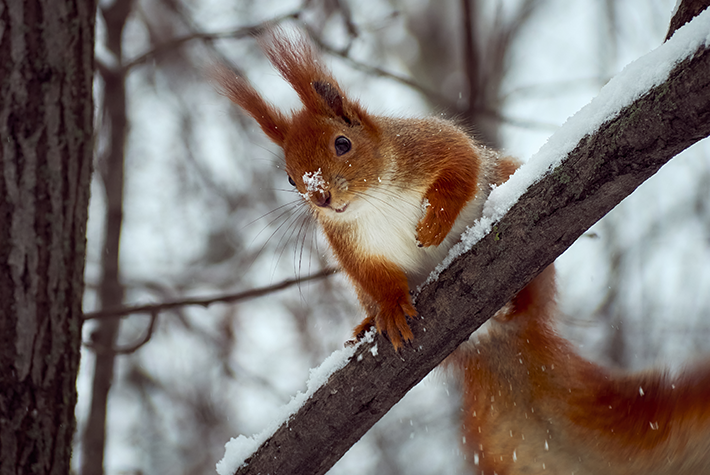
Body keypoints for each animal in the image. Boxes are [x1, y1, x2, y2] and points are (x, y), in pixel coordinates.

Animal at [215, 30, 710, 474]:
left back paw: (513, 302)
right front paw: (390, 307)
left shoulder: (430, 145)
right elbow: (375, 277)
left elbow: (462, 165)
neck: (371, 202)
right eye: (290, 176)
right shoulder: (351, 247)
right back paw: (365, 324)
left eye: (343, 143)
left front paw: (436, 218)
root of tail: (491, 339)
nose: (320, 197)